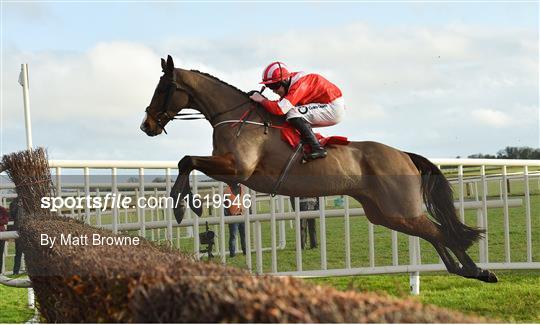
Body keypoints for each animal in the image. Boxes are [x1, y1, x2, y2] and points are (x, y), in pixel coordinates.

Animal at [139, 55, 498, 280]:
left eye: (163, 88)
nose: (147, 125)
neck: (236, 117)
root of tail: (404, 155)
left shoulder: (238, 169)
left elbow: (187, 160)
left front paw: (184, 207)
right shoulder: (230, 170)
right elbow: (186, 162)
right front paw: (187, 205)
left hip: (399, 208)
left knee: (440, 232)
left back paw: (479, 271)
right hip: (386, 214)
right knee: (433, 233)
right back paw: (465, 271)